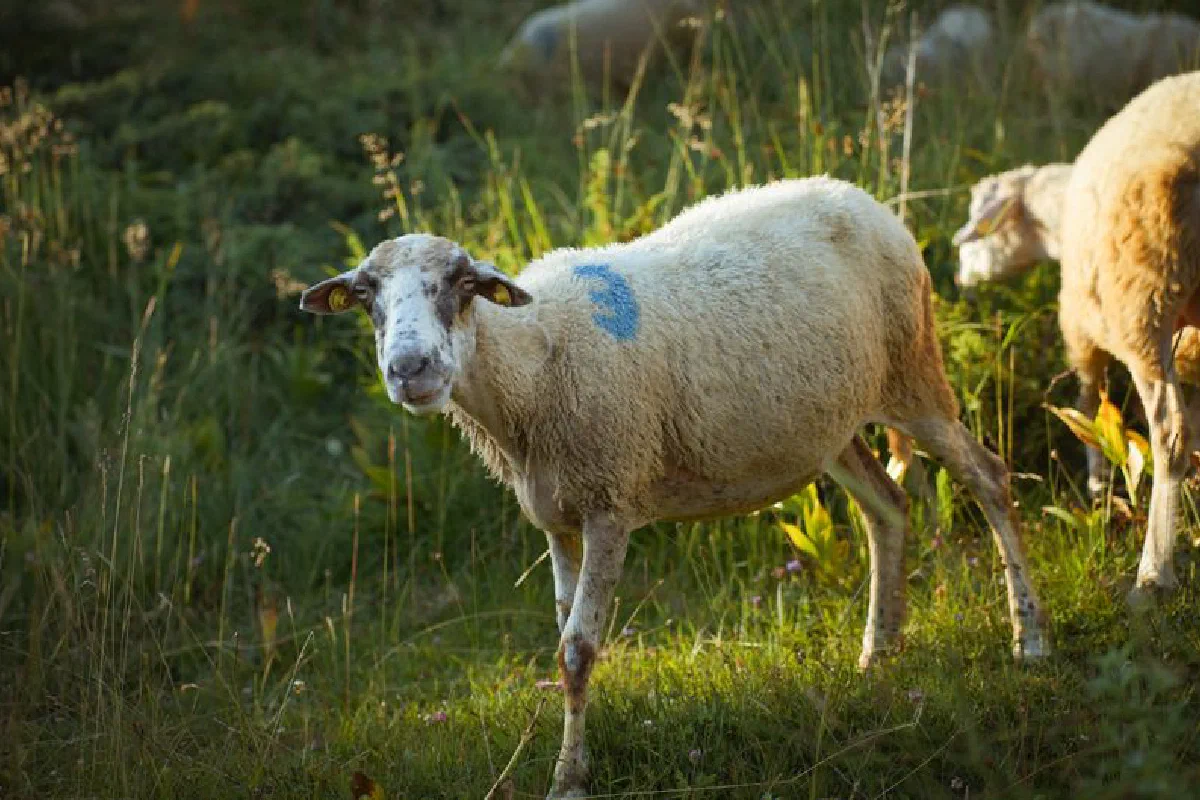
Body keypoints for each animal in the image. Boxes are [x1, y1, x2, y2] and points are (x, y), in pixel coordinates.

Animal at [299, 177, 1049, 798]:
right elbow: (564, 637)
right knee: (887, 508)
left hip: (913, 371)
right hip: (827, 423)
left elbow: (577, 650)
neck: (532, 364)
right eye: (365, 294)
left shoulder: (610, 500)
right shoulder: (558, 517)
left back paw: (1030, 641)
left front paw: (569, 780)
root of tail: (861, 196)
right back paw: (878, 653)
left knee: (988, 478)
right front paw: (579, 756)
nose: (411, 369)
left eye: (460, 282)